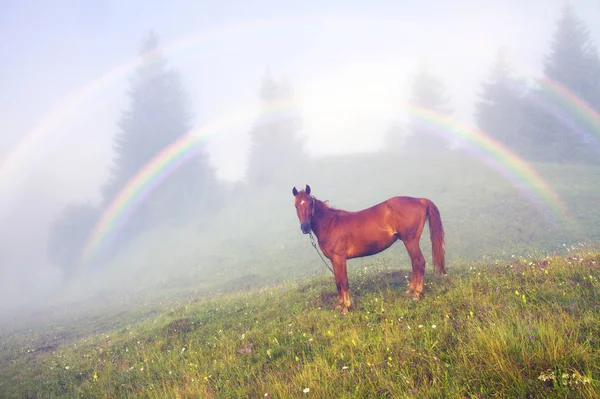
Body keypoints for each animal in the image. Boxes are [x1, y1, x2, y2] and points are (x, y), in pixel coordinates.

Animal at [292, 185, 442, 316]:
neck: (330, 224)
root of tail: (419, 200)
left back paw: (417, 294)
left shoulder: (340, 259)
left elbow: (344, 282)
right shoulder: (334, 261)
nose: (305, 227)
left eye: (310, 204)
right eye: (296, 205)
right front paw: (339, 305)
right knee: (415, 264)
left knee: (419, 262)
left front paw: (346, 307)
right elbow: (338, 282)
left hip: (410, 241)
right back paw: (410, 291)